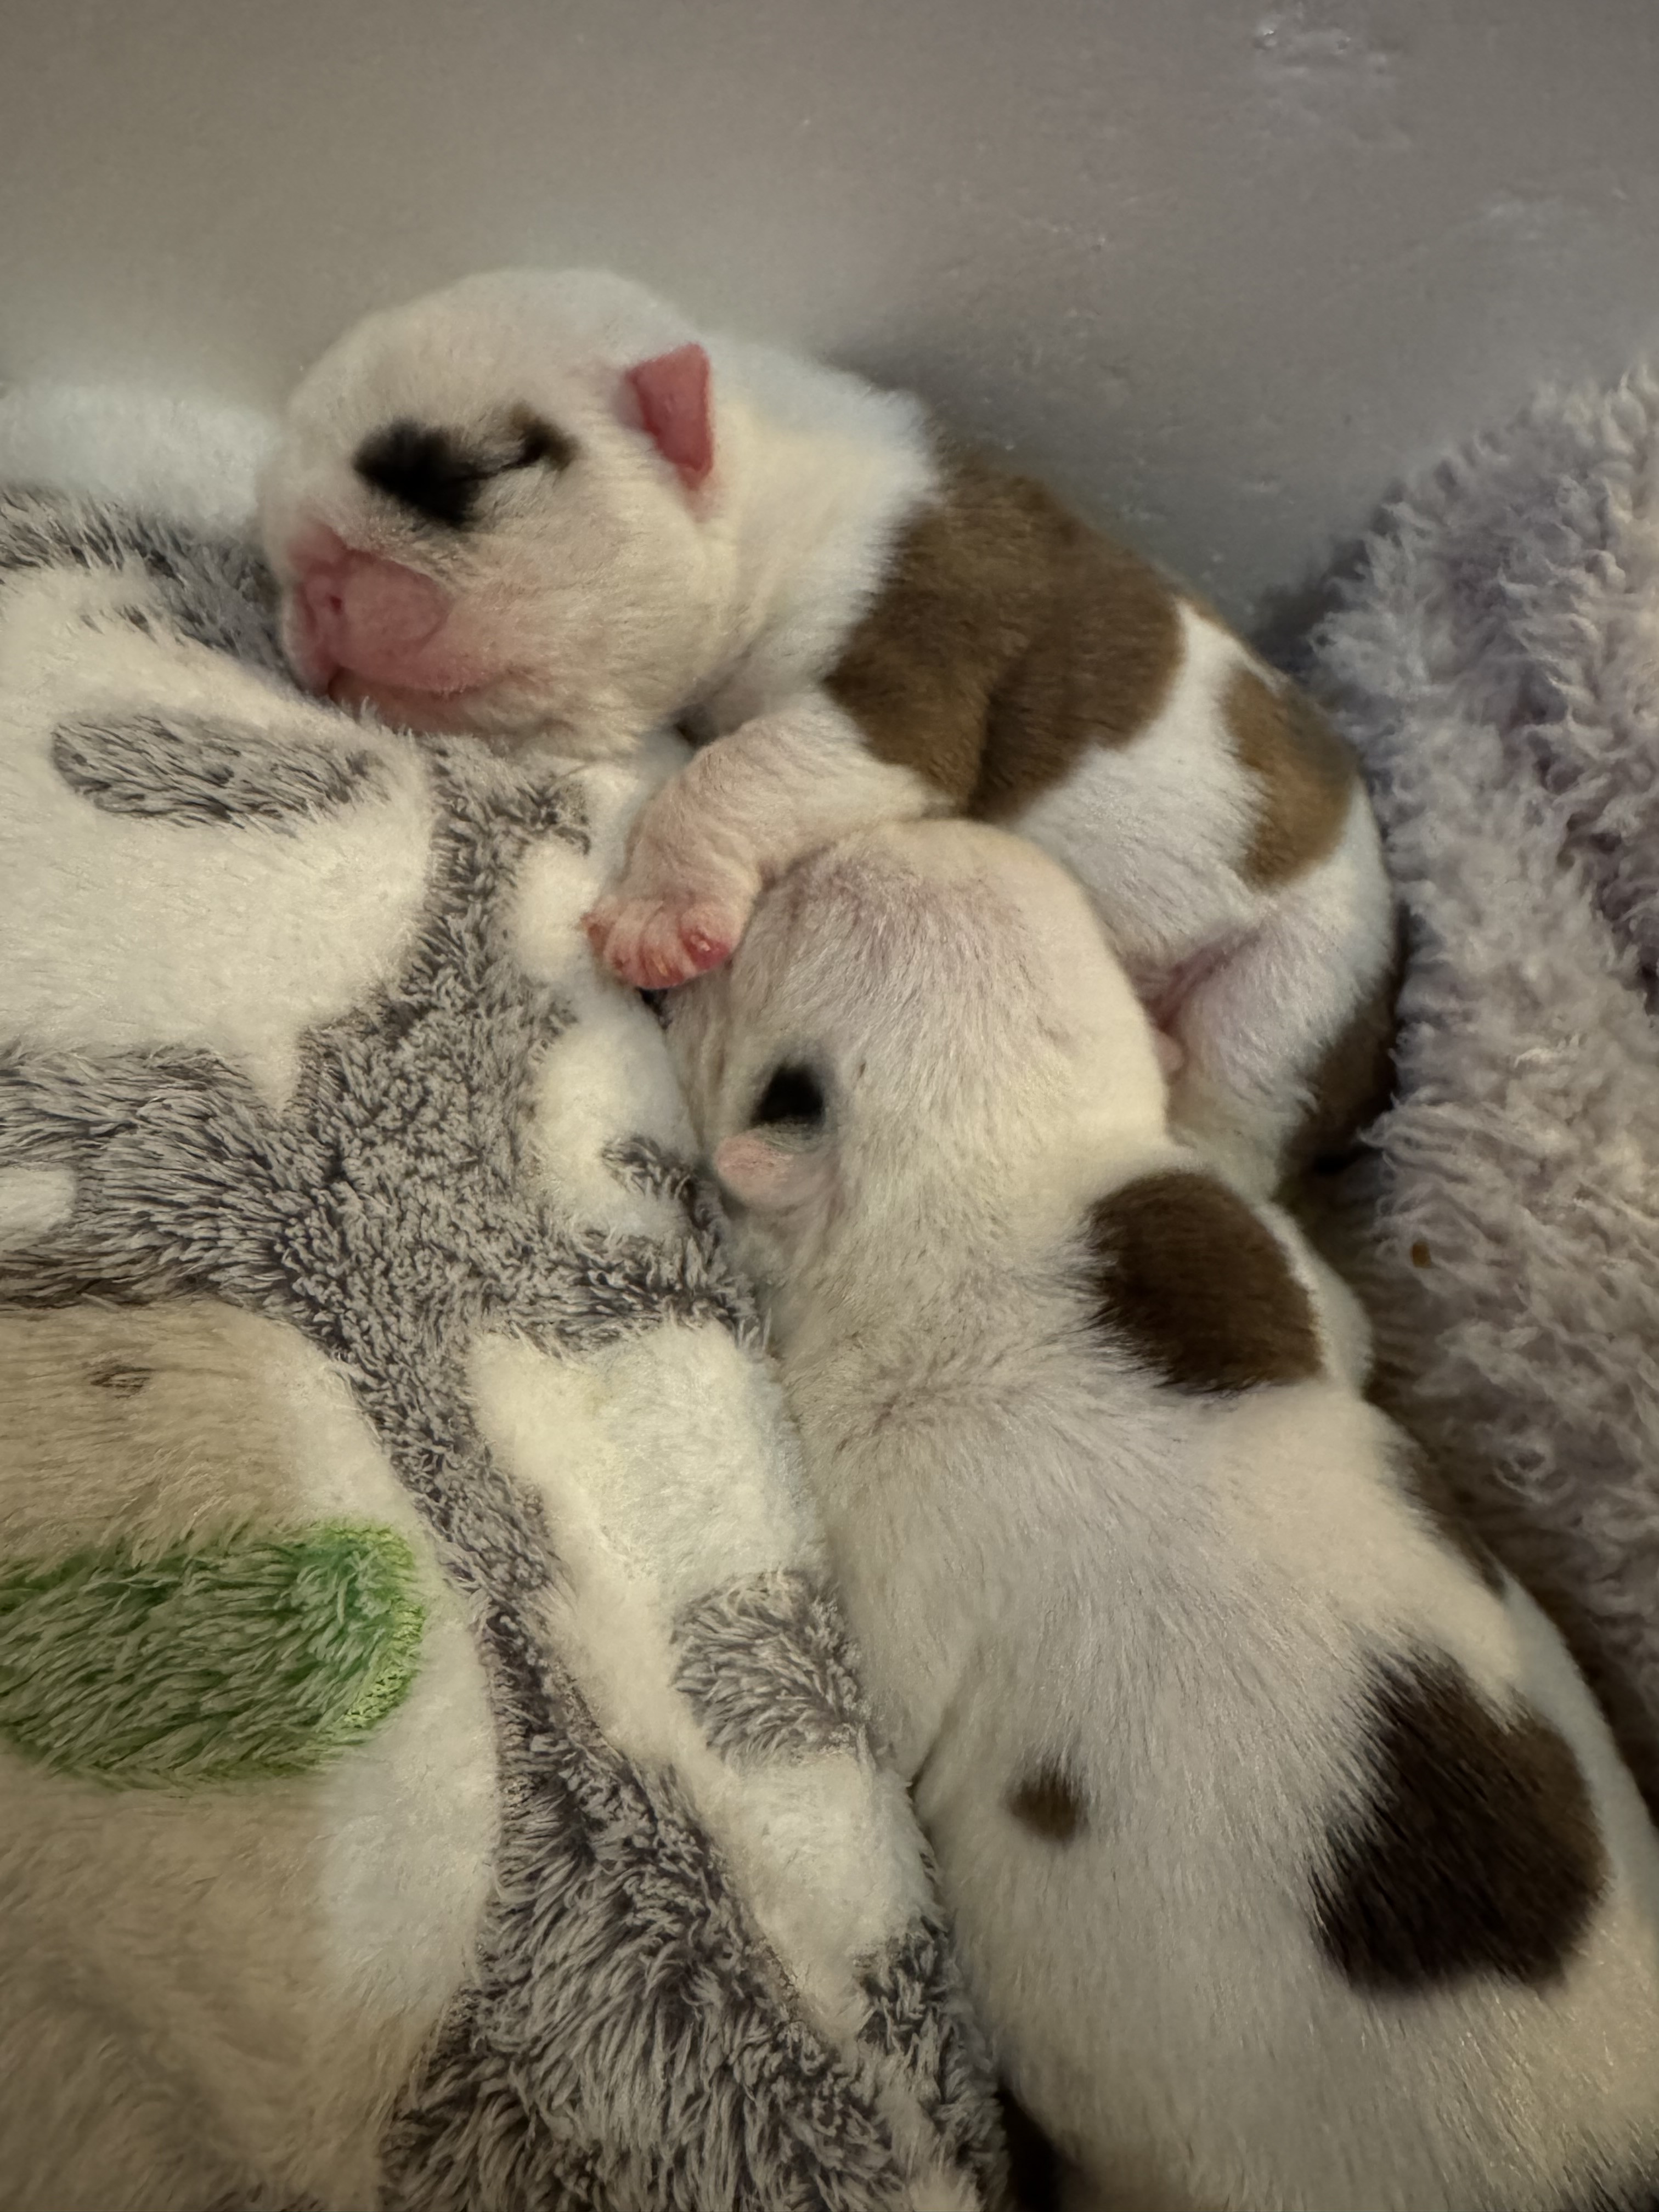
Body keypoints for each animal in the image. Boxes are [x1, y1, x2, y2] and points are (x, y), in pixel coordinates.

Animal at [259, 269, 1394, 1194]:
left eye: (465, 476)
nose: (307, 582)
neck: (769, 487)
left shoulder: (900, 684)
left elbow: (733, 772)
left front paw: (655, 914)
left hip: (1298, 991)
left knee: (1243, 1103)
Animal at [666, 815, 1659, 2212]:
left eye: (769, 942)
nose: (877, 835)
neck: (998, 1178)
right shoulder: (1249, 1249)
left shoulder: (878, 1509)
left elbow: (884, 1709)